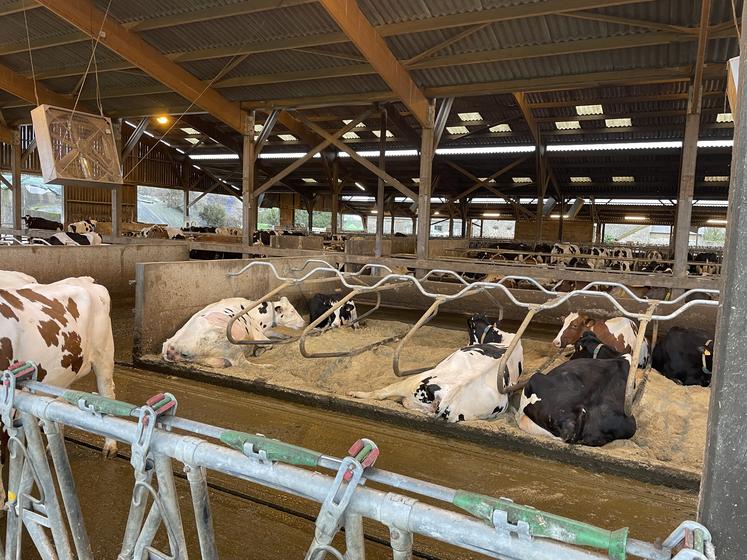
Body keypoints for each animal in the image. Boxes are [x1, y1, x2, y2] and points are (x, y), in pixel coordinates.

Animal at [162, 296, 306, 370]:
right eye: (292, 311)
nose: (304, 322)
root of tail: (172, 344)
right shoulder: (257, 333)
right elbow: (270, 343)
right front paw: (260, 350)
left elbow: (279, 335)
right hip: (231, 345)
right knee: (242, 363)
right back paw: (267, 365)